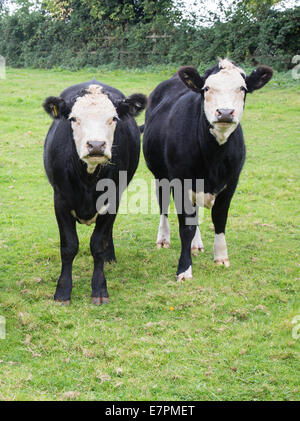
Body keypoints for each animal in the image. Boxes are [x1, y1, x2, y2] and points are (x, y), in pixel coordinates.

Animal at [43, 79, 146, 302]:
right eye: (74, 118)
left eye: (113, 118)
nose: (96, 145)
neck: (88, 178)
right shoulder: (60, 200)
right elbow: (69, 246)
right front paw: (63, 291)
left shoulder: (113, 199)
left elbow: (98, 244)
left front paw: (99, 289)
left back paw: (110, 256)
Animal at [142, 55, 274, 278]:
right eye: (207, 88)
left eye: (242, 88)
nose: (226, 112)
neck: (214, 157)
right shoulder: (181, 182)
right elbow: (186, 226)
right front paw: (184, 269)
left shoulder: (231, 182)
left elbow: (219, 218)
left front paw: (221, 257)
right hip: (160, 175)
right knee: (163, 205)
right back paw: (163, 239)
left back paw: (196, 245)